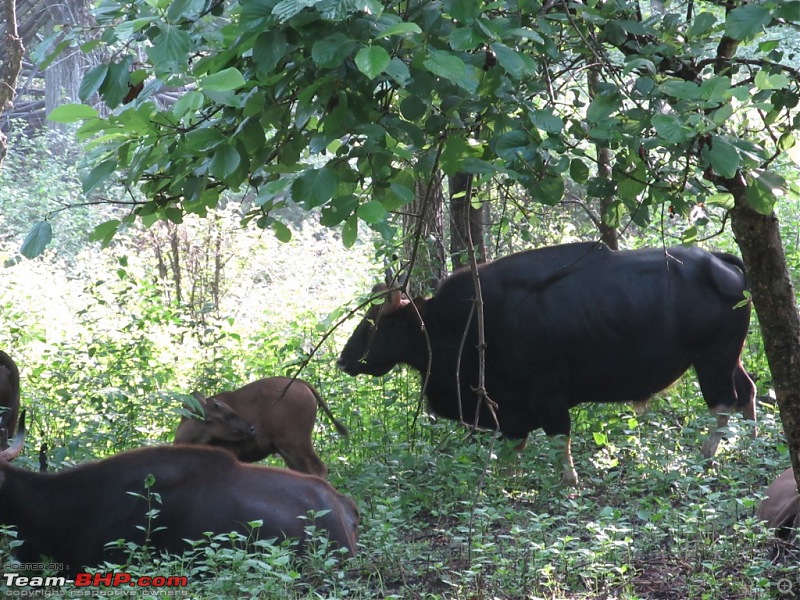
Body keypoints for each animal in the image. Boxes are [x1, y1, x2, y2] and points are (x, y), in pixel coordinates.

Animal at [173, 376, 348, 478]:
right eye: (227, 416)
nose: (252, 429)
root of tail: (300, 382)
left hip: (296, 444)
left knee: (317, 469)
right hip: (286, 449)